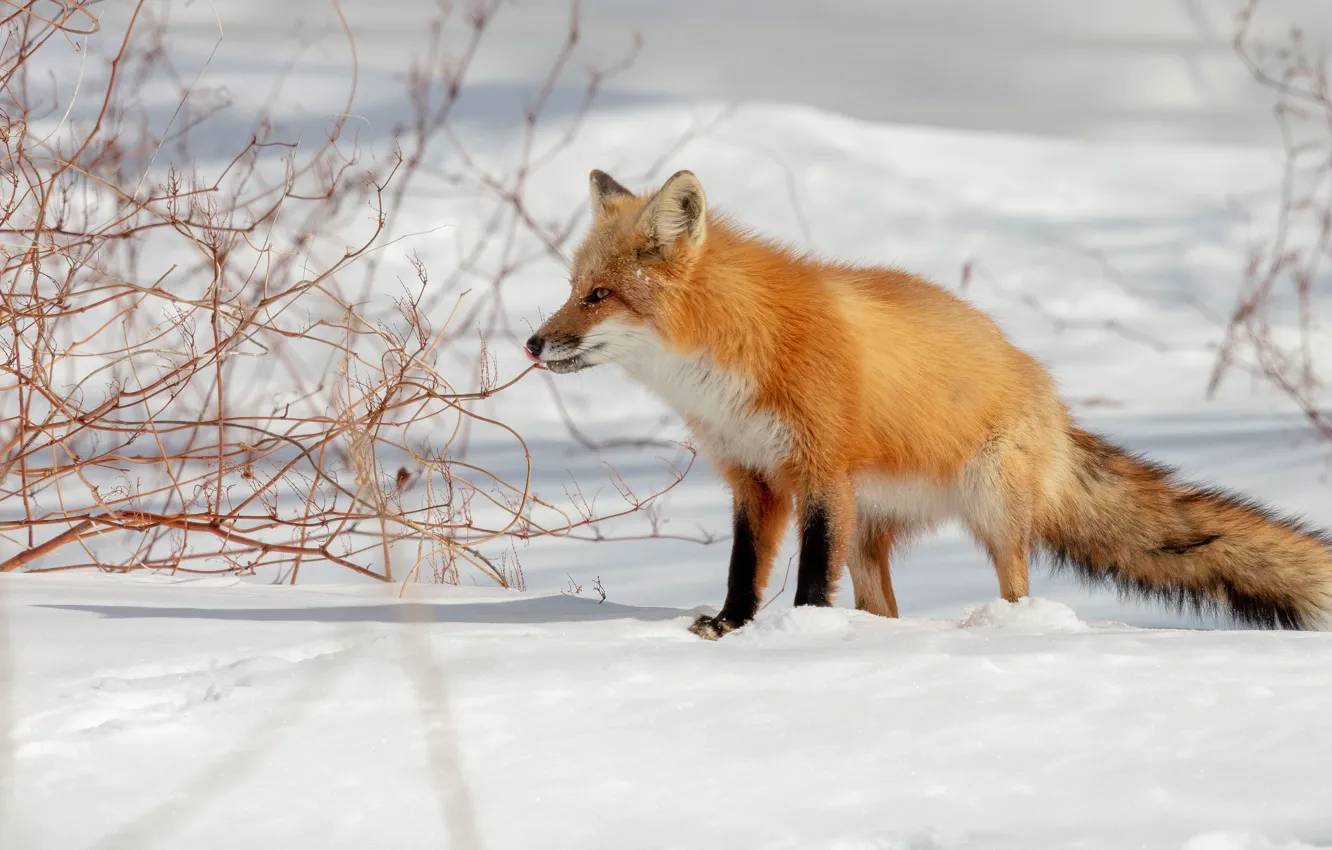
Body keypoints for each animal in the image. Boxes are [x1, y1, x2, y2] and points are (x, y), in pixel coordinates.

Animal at [525, 167, 1332, 639]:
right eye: (572, 289)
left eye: (599, 296)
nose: (533, 343)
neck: (731, 357)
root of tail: (1051, 396)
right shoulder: (752, 476)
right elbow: (743, 569)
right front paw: (731, 628)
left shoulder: (820, 471)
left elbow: (807, 582)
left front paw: (803, 640)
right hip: (867, 530)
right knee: (886, 610)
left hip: (988, 509)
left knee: (1015, 587)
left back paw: (1003, 633)